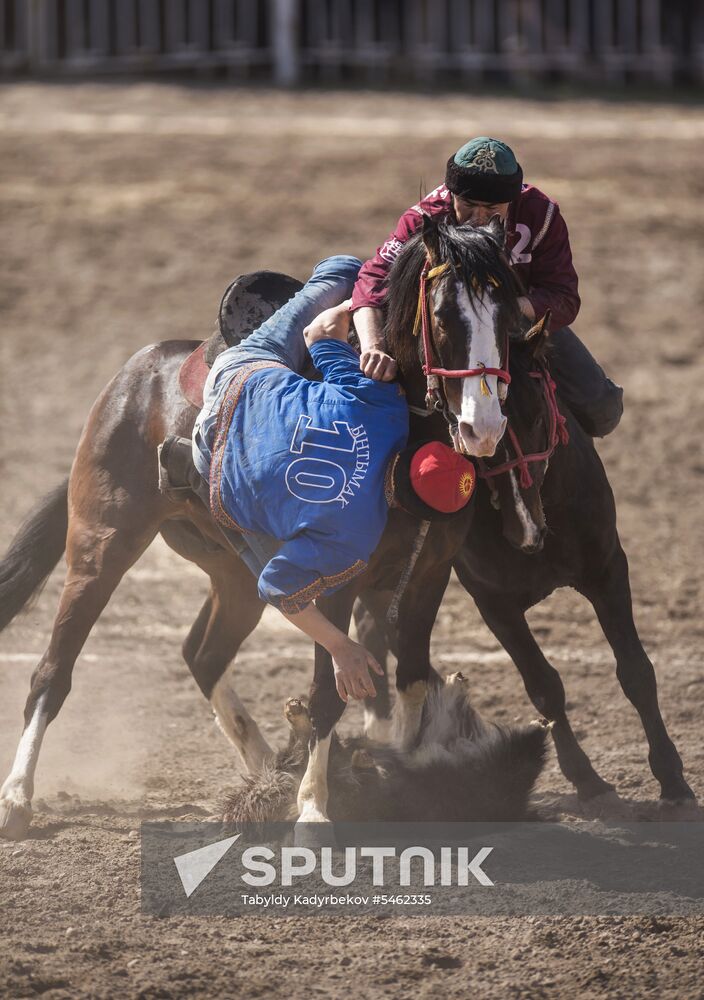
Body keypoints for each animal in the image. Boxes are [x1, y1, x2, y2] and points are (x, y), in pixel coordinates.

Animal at [0, 217, 524, 836]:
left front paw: (404, 775)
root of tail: (133, 379)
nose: (482, 426)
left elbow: (414, 677)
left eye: (508, 314)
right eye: (443, 316)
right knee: (52, 672)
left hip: (234, 575)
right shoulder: (337, 580)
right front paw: (314, 807)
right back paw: (17, 796)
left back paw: (267, 776)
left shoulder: (428, 574)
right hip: (100, 545)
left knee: (203, 655)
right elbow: (328, 690)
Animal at [354, 326, 696, 804]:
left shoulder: (608, 570)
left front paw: (671, 777)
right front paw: (585, 778)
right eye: (466, 434)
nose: (525, 529)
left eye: (538, 414)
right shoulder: (492, 602)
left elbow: (636, 672)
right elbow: (544, 686)